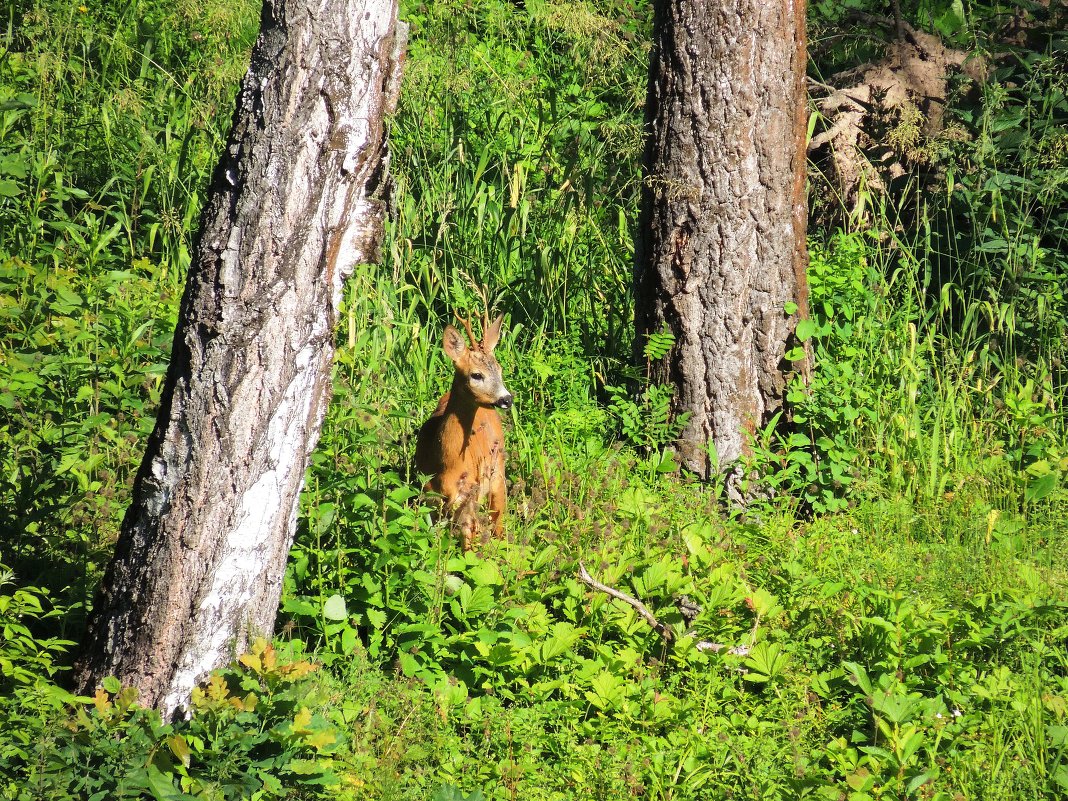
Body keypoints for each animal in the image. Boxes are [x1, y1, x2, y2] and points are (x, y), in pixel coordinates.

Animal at [414, 309, 514, 551]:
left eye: (500, 369)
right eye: (476, 375)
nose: (507, 399)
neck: (447, 465)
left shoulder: (470, 497)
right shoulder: (429, 496)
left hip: (497, 473)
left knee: (499, 520)